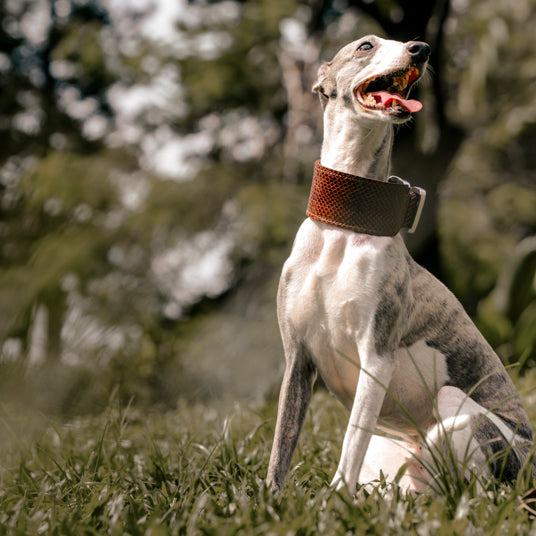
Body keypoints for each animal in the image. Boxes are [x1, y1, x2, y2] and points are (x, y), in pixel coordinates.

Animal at [266, 33, 532, 494]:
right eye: (366, 45)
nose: (421, 49)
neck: (345, 223)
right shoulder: (297, 359)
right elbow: (280, 450)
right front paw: (267, 501)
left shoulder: (376, 356)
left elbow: (350, 441)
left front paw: (335, 500)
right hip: (393, 453)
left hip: (462, 416)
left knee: (481, 492)